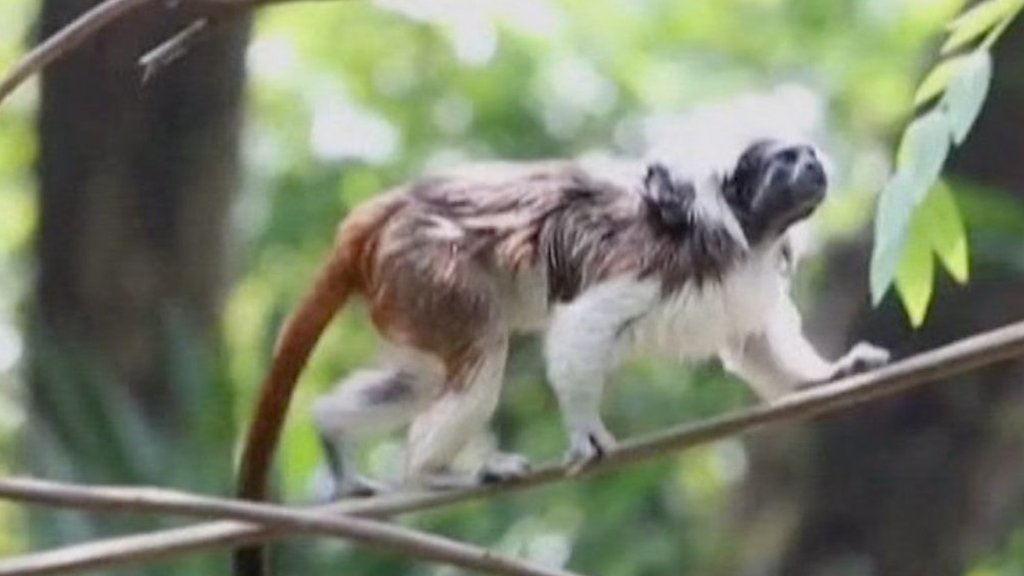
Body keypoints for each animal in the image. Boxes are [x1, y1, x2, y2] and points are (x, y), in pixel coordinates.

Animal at [232, 136, 888, 569]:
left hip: (404, 291)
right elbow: (581, 326)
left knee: (421, 378)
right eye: (787, 161)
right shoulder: (659, 260)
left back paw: (334, 441)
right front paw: (585, 431)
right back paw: (434, 471)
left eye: (808, 155)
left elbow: (758, 349)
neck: (747, 230)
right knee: (481, 350)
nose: (814, 163)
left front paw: (828, 376)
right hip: (428, 267)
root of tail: (383, 213)